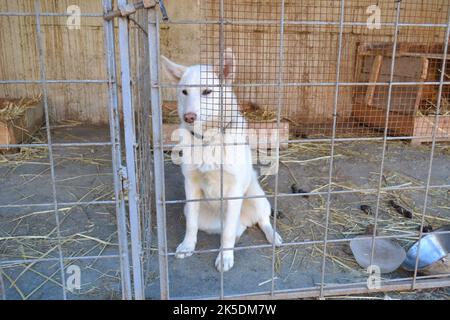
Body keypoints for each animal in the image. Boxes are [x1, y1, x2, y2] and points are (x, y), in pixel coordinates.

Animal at [162, 48, 282, 272]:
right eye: (184, 92)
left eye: (207, 92)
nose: (189, 116)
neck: (208, 139)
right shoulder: (191, 186)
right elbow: (191, 224)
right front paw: (187, 246)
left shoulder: (234, 190)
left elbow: (227, 235)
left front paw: (225, 257)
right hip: (194, 210)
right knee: (232, 228)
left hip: (256, 197)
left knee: (261, 220)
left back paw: (273, 237)